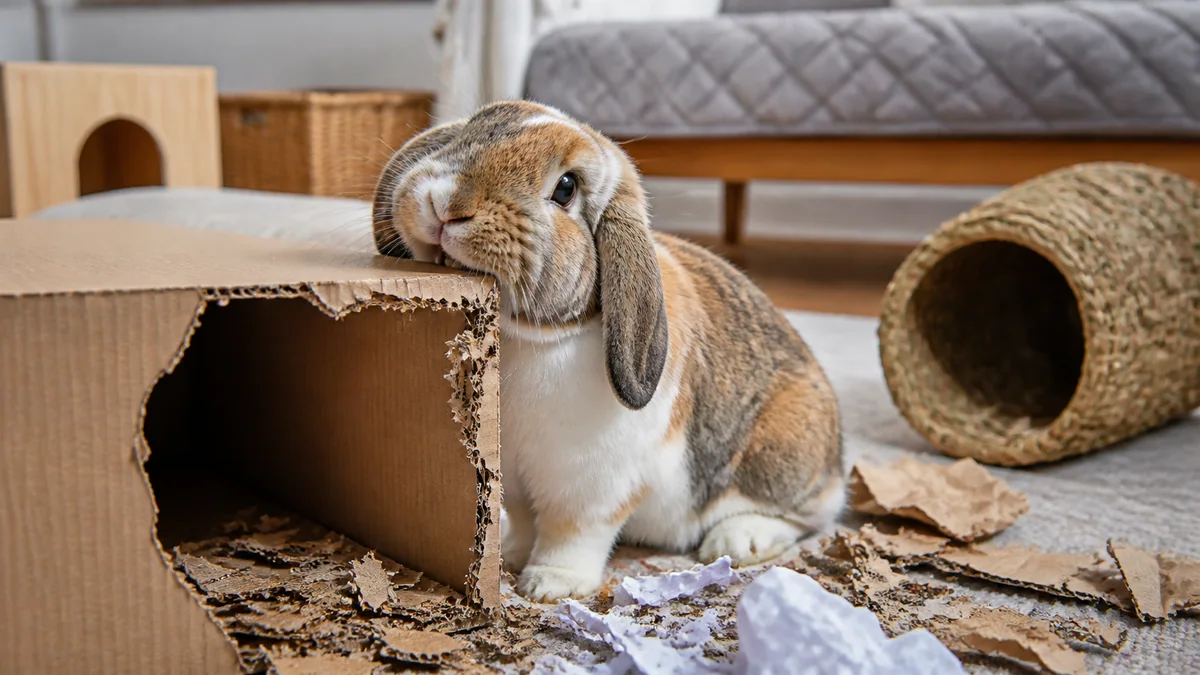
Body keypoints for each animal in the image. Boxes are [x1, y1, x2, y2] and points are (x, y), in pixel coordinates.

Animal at [371, 100, 845, 603]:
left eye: (566, 187)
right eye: (478, 129)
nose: (446, 204)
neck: (531, 335)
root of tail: (838, 461)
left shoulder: (591, 488)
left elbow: (572, 533)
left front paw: (547, 586)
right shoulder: (514, 482)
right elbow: (523, 522)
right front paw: (511, 557)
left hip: (779, 455)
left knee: (806, 516)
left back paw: (739, 540)